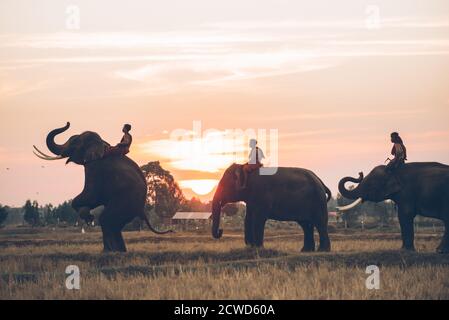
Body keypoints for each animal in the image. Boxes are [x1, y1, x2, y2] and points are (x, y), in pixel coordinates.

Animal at [33, 122, 170, 252]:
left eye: (73, 144)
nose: (68, 123)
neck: (102, 143)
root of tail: (142, 209)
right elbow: (96, 199)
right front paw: (88, 216)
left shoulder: (94, 167)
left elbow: (91, 195)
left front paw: (88, 217)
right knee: (114, 224)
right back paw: (118, 251)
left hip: (125, 203)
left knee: (106, 219)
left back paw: (109, 251)